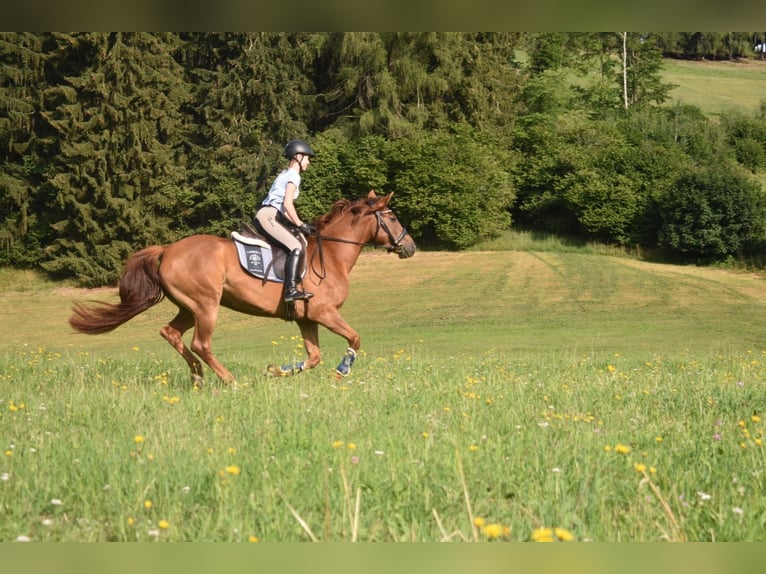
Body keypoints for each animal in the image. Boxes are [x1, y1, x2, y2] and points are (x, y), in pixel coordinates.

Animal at [69, 192, 416, 388]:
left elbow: (314, 357)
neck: (330, 255)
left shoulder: (307, 319)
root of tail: (167, 249)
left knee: (171, 333)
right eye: (393, 218)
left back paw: (198, 376)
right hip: (206, 305)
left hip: (188, 307)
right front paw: (341, 372)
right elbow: (354, 338)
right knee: (201, 343)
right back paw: (230, 381)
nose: (411, 246)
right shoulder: (325, 313)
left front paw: (278, 370)